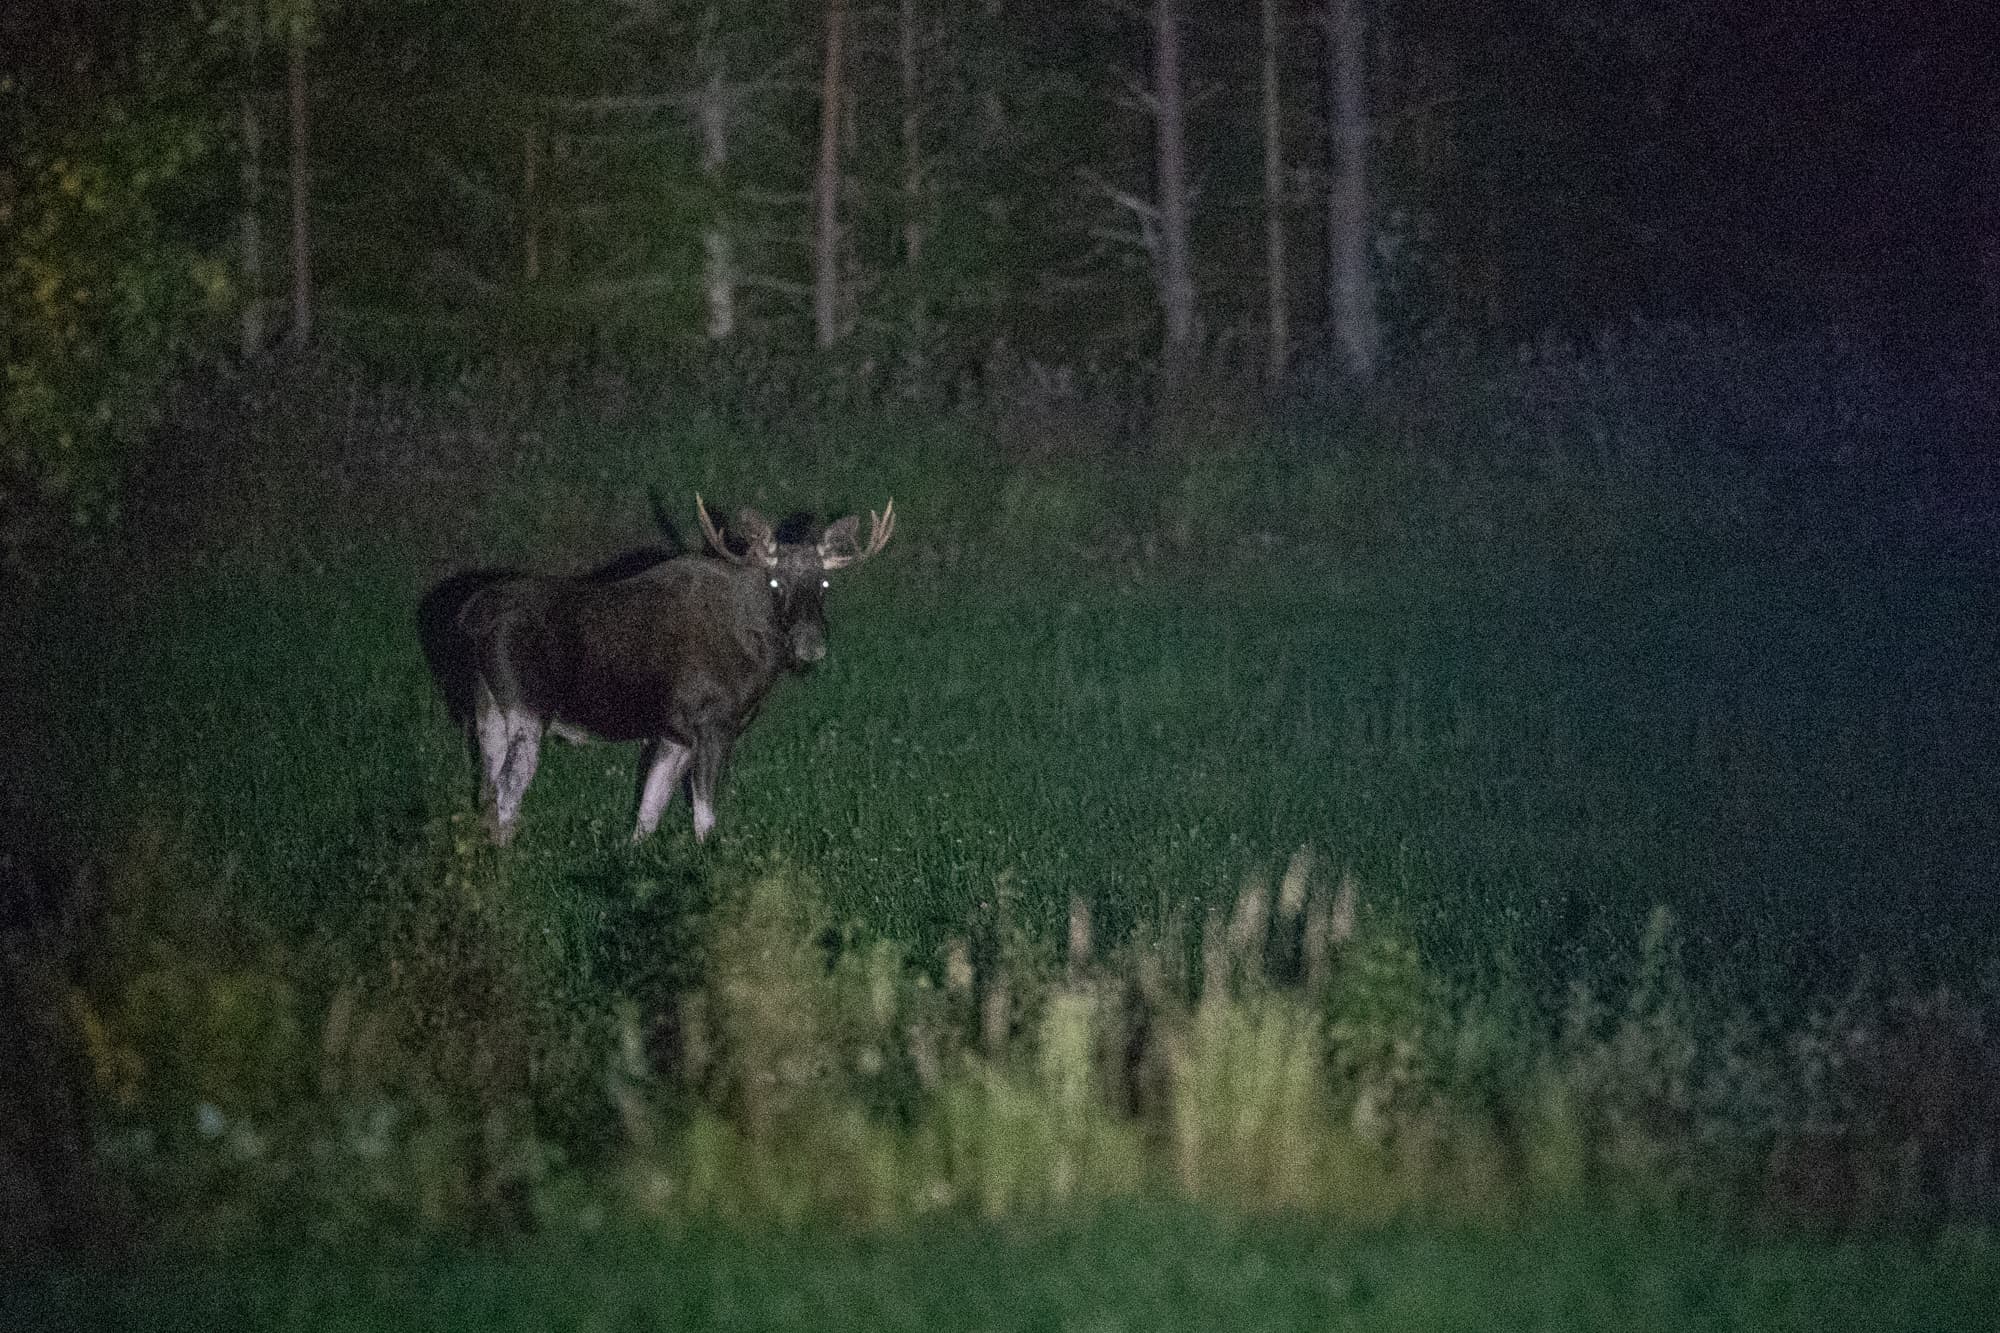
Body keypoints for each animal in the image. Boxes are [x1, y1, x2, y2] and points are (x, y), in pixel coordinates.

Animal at [450, 497, 894, 845]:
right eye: (774, 582)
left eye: (824, 584)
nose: (810, 643)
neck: (758, 658)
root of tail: (471, 615)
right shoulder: (714, 724)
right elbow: (704, 818)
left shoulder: (674, 735)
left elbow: (647, 813)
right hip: (527, 708)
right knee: (507, 790)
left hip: (487, 707)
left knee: (485, 787)